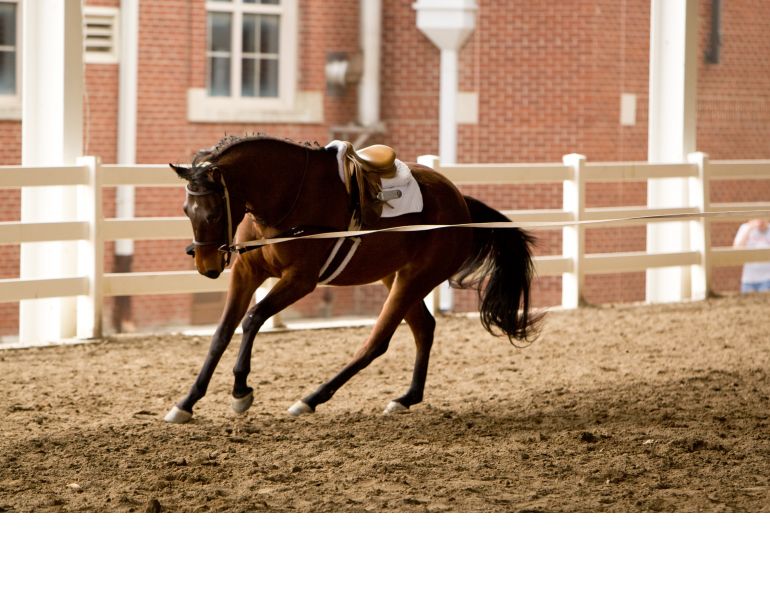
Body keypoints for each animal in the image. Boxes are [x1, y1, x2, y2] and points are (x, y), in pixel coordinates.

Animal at [165, 134, 542, 423]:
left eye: (213, 213)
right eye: (186, 210)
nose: (207, 265)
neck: (288, 196)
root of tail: (461, 202)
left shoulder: (301, 280)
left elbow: (253, 318)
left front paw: (241, 391)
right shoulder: (247, 273)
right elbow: (222, 333)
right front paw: (187, 402)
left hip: (414, 279)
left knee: (376, 343)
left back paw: (312, 398)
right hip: (395, 277)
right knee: (424, 328)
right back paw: (406, 397)